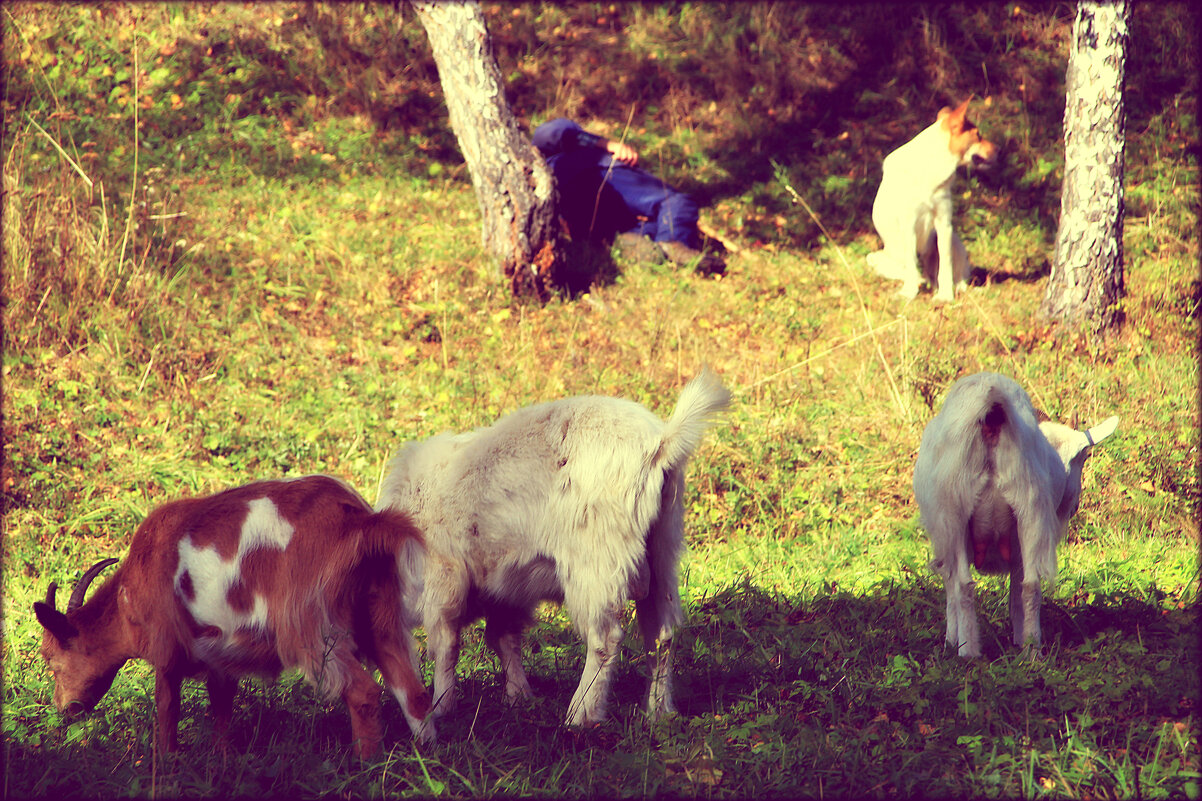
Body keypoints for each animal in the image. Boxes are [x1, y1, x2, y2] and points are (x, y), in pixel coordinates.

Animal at [31, 473, 437, 755]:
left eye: (52, 658)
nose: (64, 708)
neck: (129, 592)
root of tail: (360, 522)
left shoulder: (167, 649)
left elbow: (167, 710)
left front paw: (167, 762)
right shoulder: (219, 658)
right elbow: (222, 709)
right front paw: (221, 761)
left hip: (310, 626)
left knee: (364, 691)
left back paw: (364, 766)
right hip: (379, 610)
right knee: (412, 691)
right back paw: (427, 757)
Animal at [377, 368, 730, 721]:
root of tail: (661, 443)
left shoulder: (444, 579)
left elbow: (446, 646)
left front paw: (441, 706)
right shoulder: (502, 588)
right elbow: (503, 639)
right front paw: (518, 697)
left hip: (594, 561)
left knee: (605, 639)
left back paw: (581, 714)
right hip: (662, 550)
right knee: (661, 635)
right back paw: (657, 711)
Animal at [870, 98, 1000, 300]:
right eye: (978, 135)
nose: (1000, 150)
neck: (930, 168)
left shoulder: (944, 224)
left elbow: (946, 265)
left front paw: (945, 297)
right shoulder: (909, 225)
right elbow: (911, 265)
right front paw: (909, 293)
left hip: (954, 240)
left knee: (957, 278)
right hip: (877, 258)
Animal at [913, 370, 1120, 654]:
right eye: (1086, 457)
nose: (1072, 504)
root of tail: (991, 408)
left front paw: (952, 640)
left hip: (960, 513)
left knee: (965, 585)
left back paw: (971, 651)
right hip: (1028, 510)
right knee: (1028, 585)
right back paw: (1029, 650)